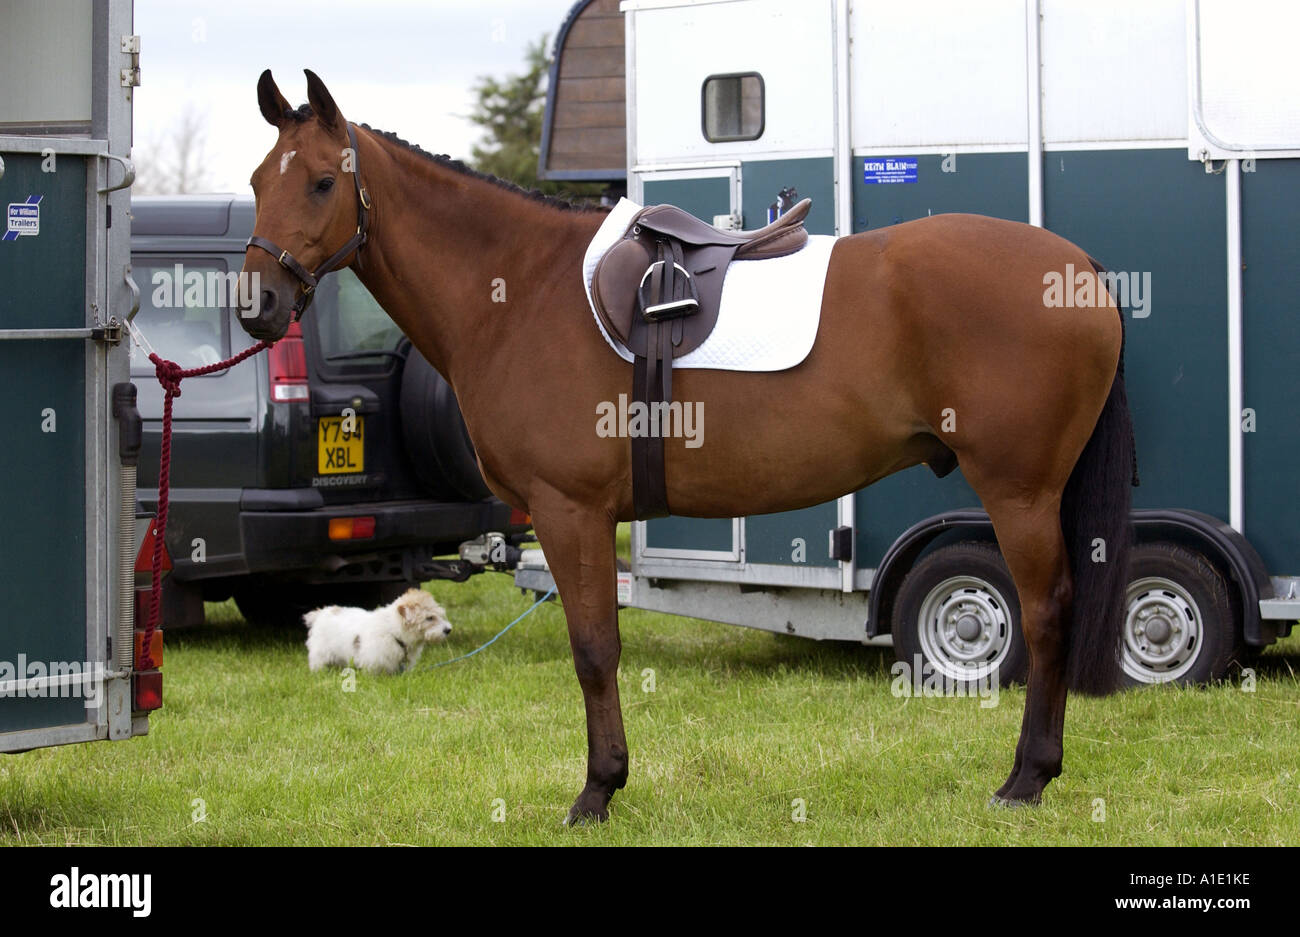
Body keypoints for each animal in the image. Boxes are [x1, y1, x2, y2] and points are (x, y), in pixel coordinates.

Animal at [239, 70, 1134, 824]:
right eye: (256, 181)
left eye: (321, 181)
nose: (259, 303)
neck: (519, 289)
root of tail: (1076, 267)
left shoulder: (571, 512)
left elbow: (594, 649)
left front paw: (597, 791)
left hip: (1019, 492)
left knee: (1046, 613)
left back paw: (1025, 778)